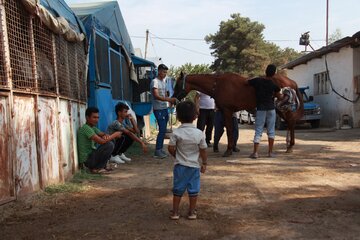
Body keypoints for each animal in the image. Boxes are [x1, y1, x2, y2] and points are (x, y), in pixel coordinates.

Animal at [173, 72, 302, 157]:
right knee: (290, 123)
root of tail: (291, 81)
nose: (174, 98)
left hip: (283, 109)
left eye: (177, 84)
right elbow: (228, 131)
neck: (218, 84)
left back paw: (290, 146)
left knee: (291, 123)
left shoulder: (227, 111)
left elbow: (230, 131)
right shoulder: (227, 112)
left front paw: (228, 151)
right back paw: (288, 146)